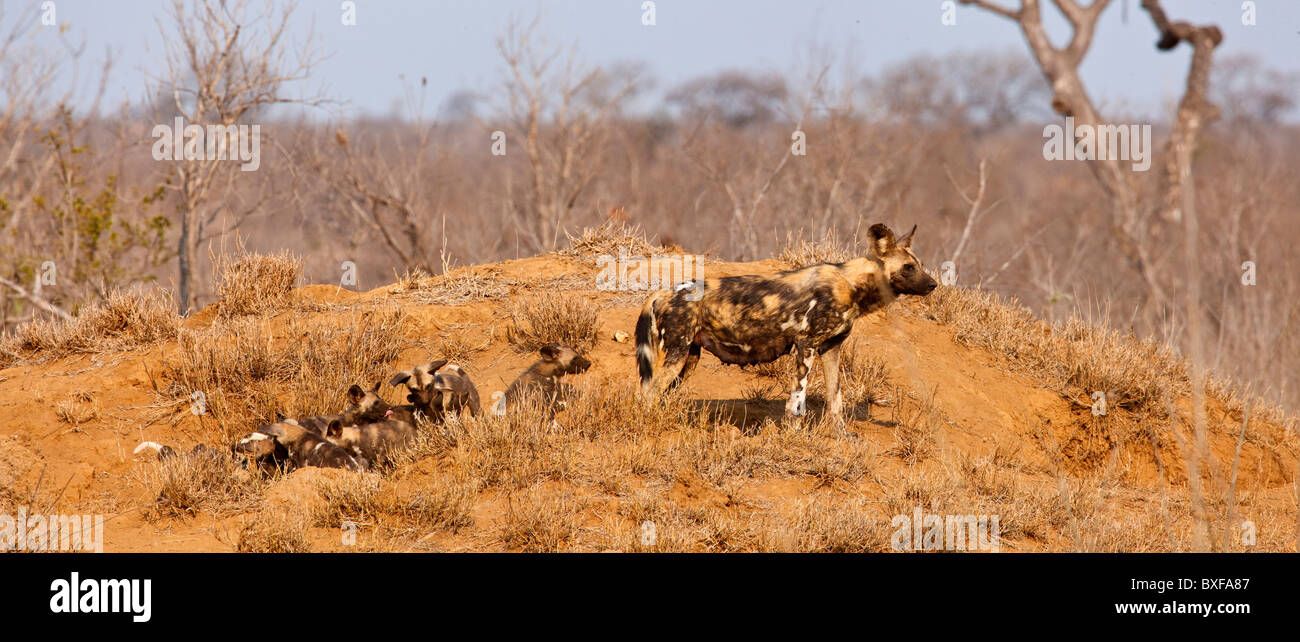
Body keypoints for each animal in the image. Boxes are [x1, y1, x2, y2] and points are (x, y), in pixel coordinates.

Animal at [631, 223, 930, 418]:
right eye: (908, 267)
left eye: (920, 265)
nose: (934, 284)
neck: (851, 284)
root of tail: (663, 291)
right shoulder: (806, 345)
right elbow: (797, 400)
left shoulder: (831, 349)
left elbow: (836, 399)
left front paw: (842, 438)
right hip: (676, 355)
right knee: (647, 394)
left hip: (688, 358)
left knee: (657, 394)